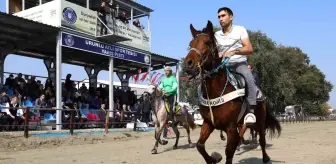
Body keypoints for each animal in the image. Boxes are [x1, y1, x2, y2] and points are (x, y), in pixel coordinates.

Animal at [184, 20, 280, 164]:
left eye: (207, 42)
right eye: (190, 44)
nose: (188, 64)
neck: (216, 93)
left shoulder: (231, 127)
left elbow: (229, 152)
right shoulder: (208, 123)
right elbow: (200, 145)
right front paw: (214, 158)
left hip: (259, 121)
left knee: (262, 140)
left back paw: (266, 158)